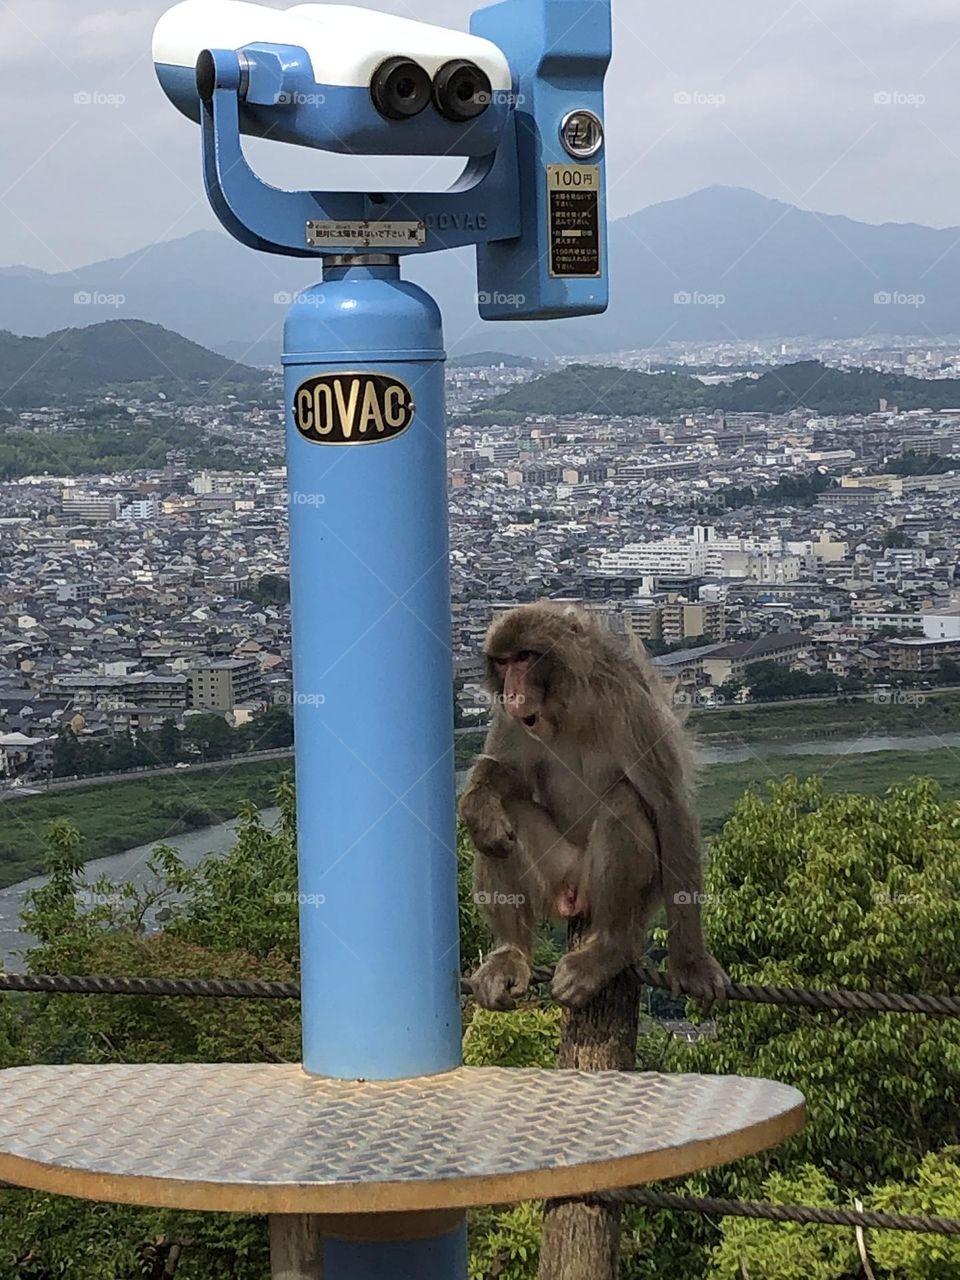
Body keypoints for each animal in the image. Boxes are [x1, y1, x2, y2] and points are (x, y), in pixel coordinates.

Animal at [459, 601, 728, 1013]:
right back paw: (511, 952)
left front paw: (692, 965)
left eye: (524, 658)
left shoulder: (630, 702)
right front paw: (477, 807)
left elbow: (669, 808)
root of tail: (573, 895)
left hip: (626, 893)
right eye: (503, 663)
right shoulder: (510, 716)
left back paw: (607, 950)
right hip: (556, 873)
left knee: (624, 803)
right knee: (503, 820)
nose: (512, 691)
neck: (567, 706)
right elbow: (510, 777)